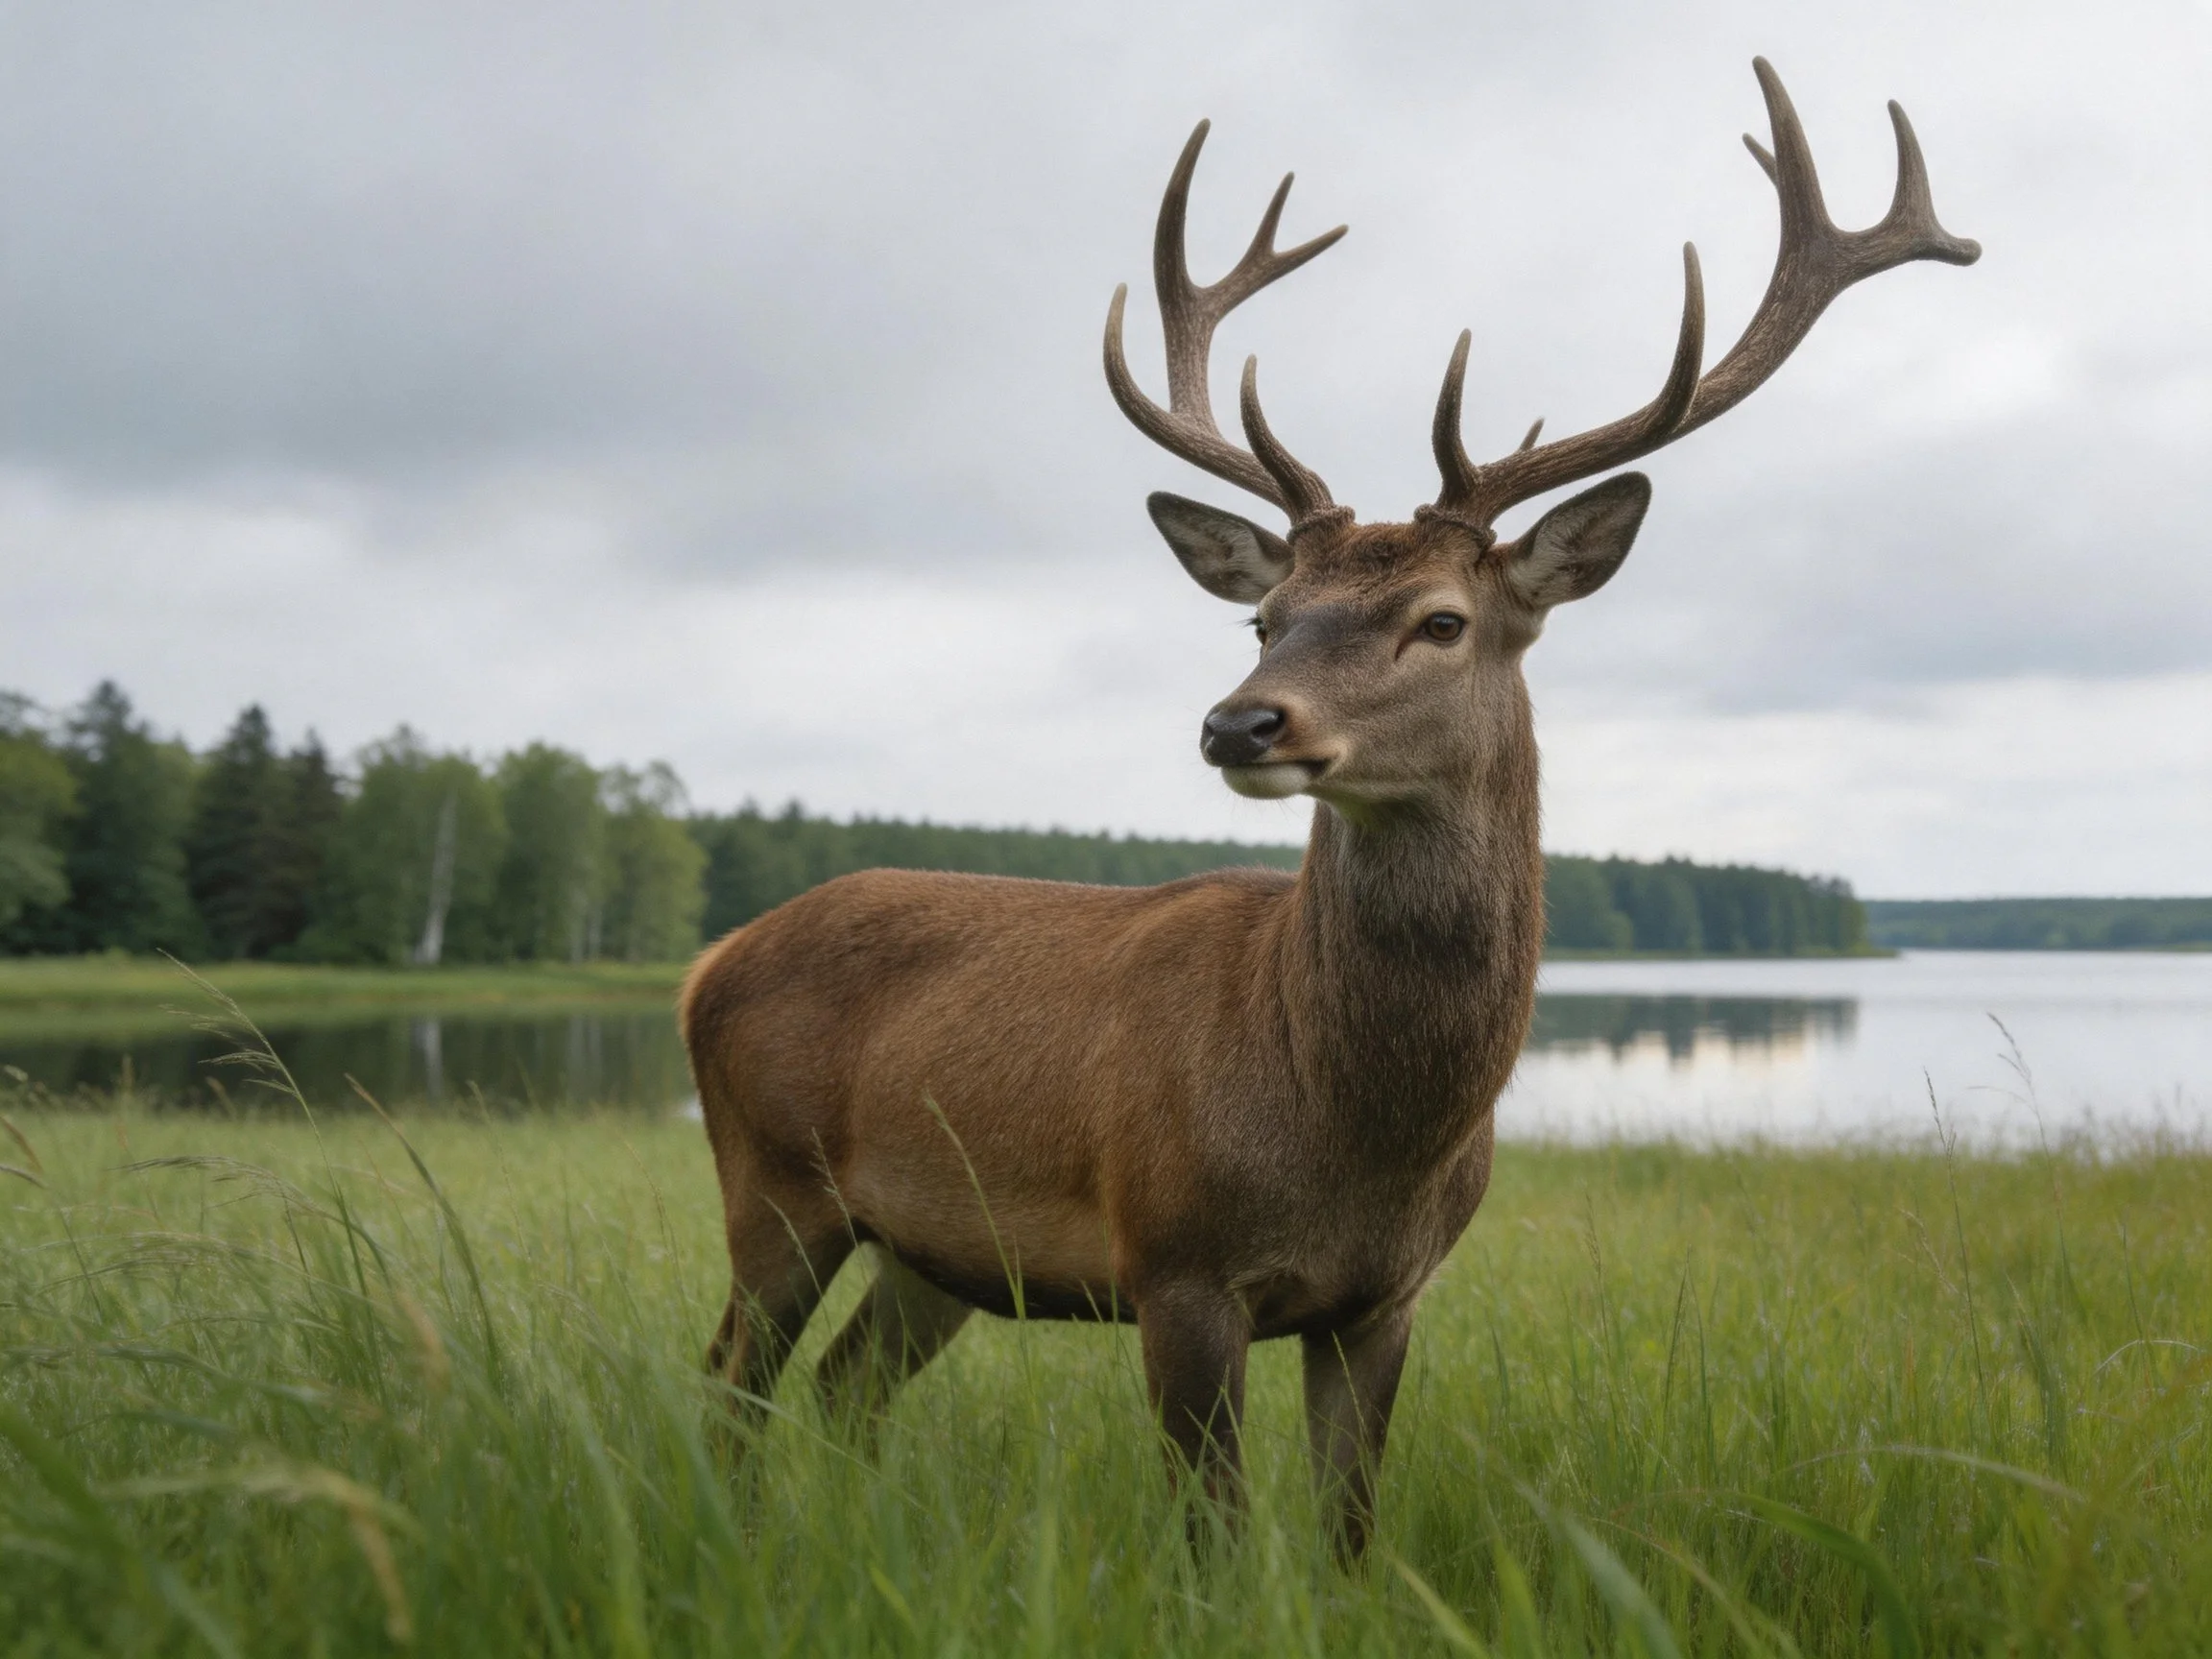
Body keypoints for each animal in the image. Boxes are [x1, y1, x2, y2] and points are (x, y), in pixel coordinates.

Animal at [681, 58, 1976, 1557]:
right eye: (1265, 616)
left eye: (1442, 619)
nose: (1240, 722)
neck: (1355, 1126)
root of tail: (708, 962)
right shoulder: (1177, 1263)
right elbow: (1212, 1540)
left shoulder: (1385, 1297)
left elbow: (1352, 1534)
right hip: (772, 1182)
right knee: (730, 1385)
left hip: (931, 1257)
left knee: (839, 1392)